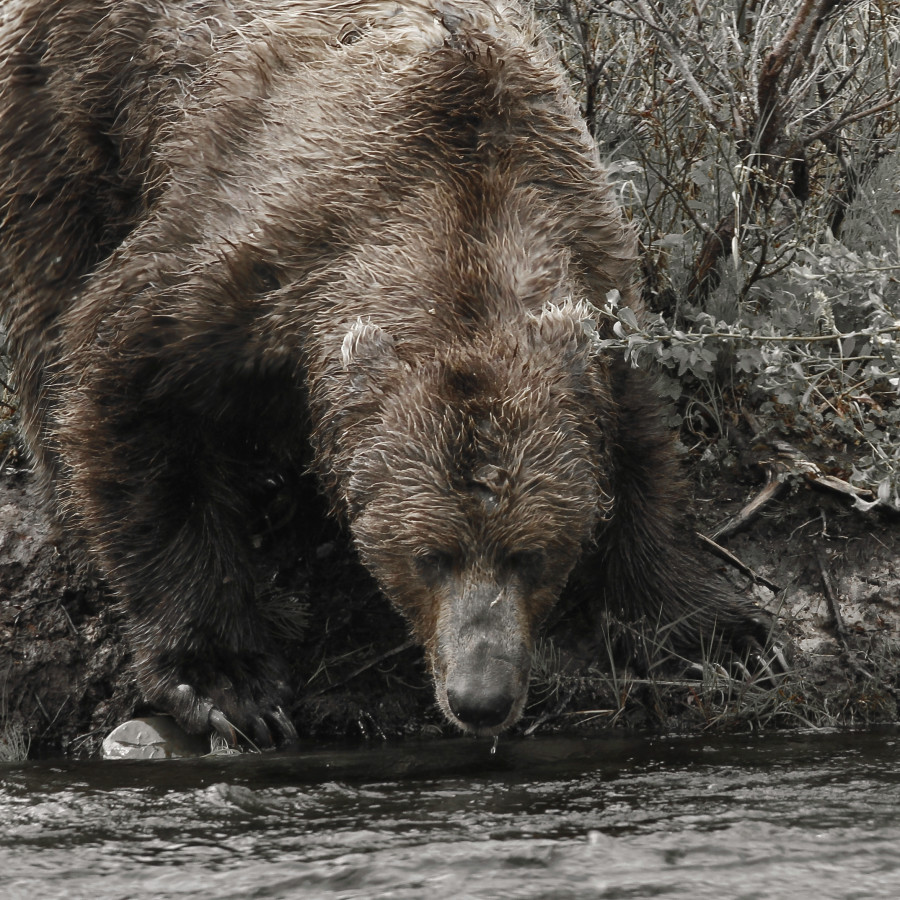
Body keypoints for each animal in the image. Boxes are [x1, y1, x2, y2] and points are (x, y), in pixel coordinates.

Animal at [0, 0, 768, 744]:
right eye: (429, 554)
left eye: (532, 553)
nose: (480, 697)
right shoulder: (249, 261)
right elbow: (126, 385)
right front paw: (225, 683)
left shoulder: (594, 271)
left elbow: (642, 450)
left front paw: (712, 625)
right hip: (73, 97)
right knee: (51, 277)